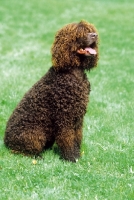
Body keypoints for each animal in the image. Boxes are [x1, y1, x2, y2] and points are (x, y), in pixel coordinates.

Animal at [3, 20, 98, 162]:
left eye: (89, 30)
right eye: (79, 33)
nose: (95, 35)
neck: (73, 73)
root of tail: (5, 141)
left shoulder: (77, 118)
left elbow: (77, 137)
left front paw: (77, 155)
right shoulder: (65, 118)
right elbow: (68, 138)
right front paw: (71, 158)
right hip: (34, 135)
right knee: (21, 151)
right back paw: (38, 156)